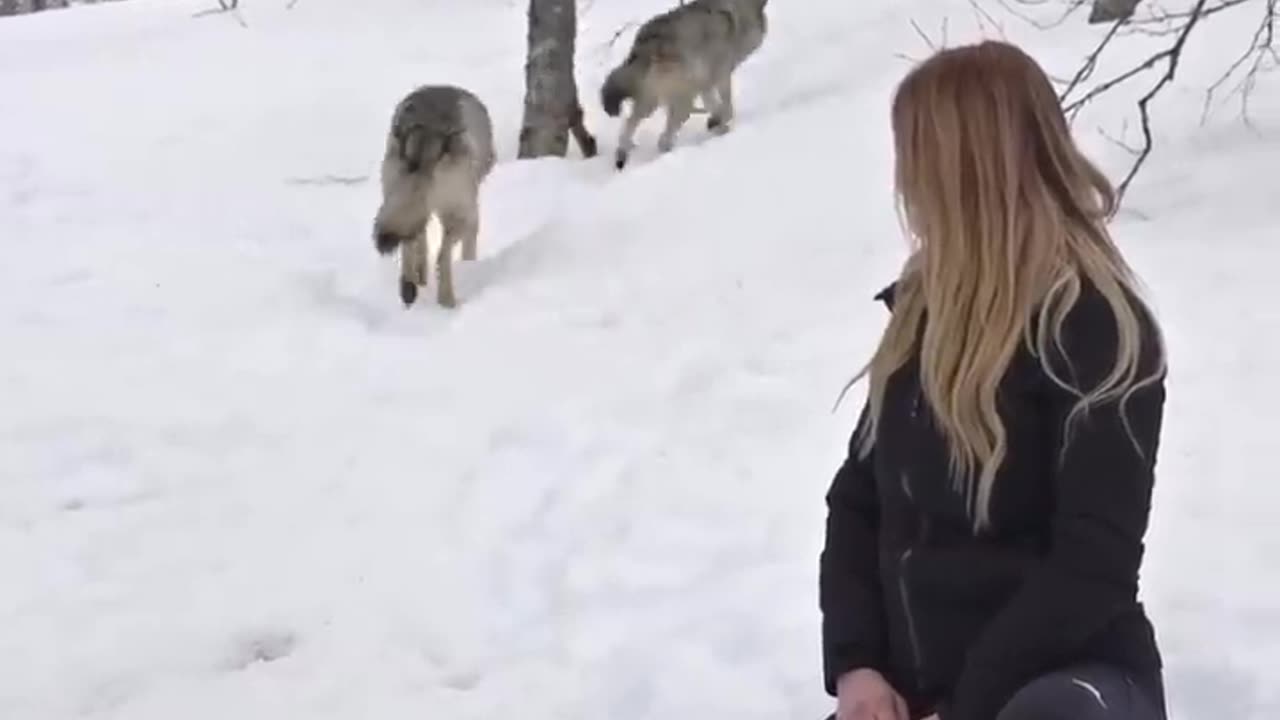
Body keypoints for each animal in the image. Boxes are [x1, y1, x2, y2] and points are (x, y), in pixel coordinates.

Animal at [371, 84, 494, 308]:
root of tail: (429, 127)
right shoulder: (471, 212)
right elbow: (469, 249)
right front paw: (470, 266)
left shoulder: (421, 211)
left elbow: (420, 243)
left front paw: (420, 278)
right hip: (458, 213)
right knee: (441, 257)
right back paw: (447, 301)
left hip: (396, 197)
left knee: (408, 245)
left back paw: (409, 288)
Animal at [596, 0, 762, 167]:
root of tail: (649, 43)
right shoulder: (720, 74)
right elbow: (727, 107)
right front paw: (720, 125)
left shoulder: (704, 83)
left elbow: (714, 105)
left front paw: (714, 122)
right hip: (680, 100)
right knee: (664, 136)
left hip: (652, 103)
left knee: (631, 124)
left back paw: (622, 155)